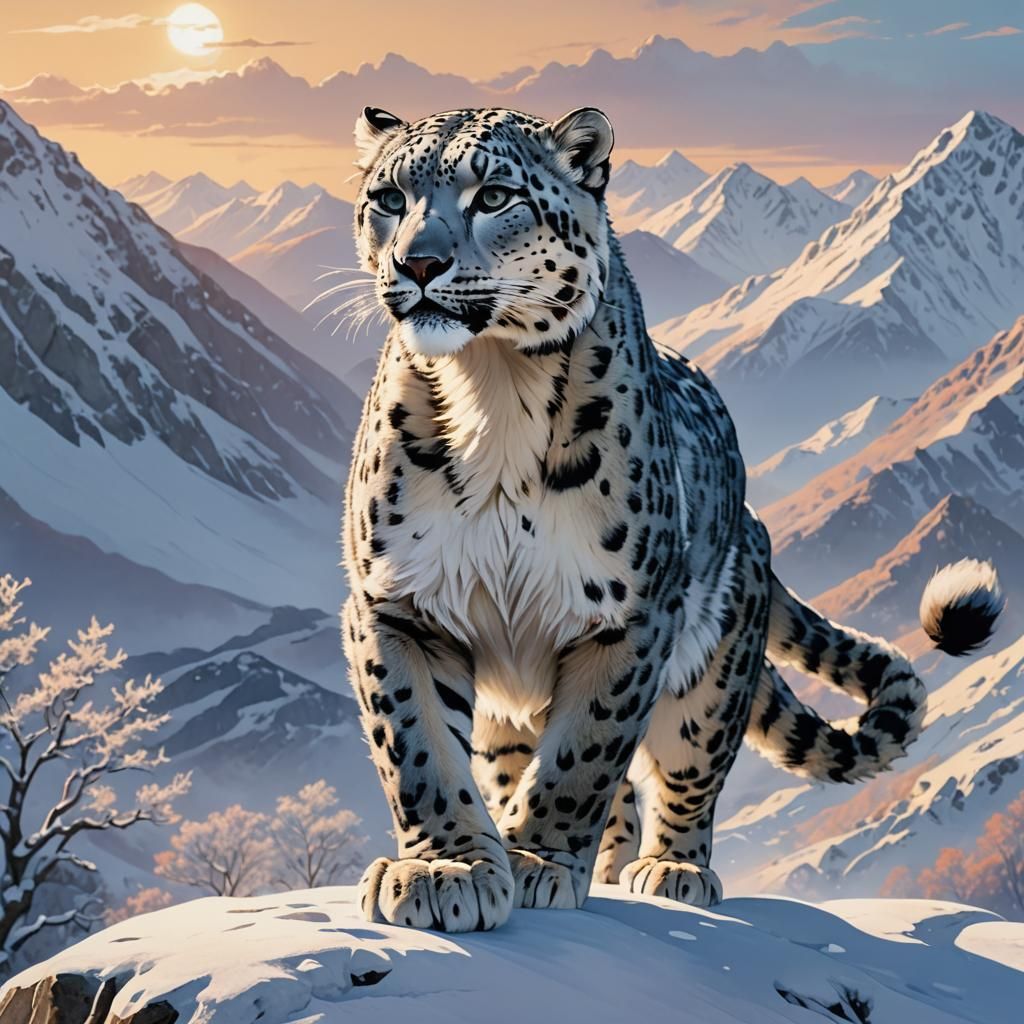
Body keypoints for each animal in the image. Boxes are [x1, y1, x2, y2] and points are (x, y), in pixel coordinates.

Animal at [339, 104, 1003, 933]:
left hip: (709, 675)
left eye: (493, 196)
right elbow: (418, 745)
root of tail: (755, 532)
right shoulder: (402, 602)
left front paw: (536, 861)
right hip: (510, 707)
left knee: (687, 767)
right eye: (389, 198)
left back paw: (669, 869)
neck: (493, 385)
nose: (418, 263)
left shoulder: (626, 617)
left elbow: (582, 756)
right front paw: (447, 869)